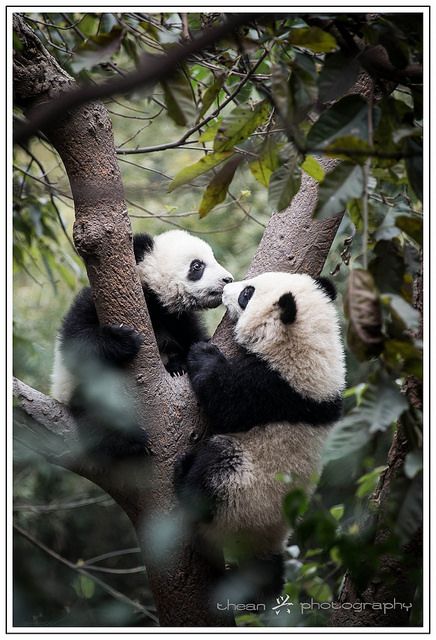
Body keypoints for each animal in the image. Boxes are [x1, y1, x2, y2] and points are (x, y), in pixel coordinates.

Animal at [50, 230, 233, 460]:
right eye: (197, 266)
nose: (228, 279)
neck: (155, 302)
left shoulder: (180, 321)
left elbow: (195, 343)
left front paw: (180, 364)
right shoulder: (93, 301)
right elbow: (76, 346)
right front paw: (122, 340)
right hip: (79, 392)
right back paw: (125, 440)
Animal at [175, 272, 346, 604]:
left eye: (247, 294)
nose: (227, 287)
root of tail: (264, 543)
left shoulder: (275, 388)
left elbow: (226, 401)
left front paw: (203, 355)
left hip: (242, 492)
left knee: (218, 465)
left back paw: (183, 481)